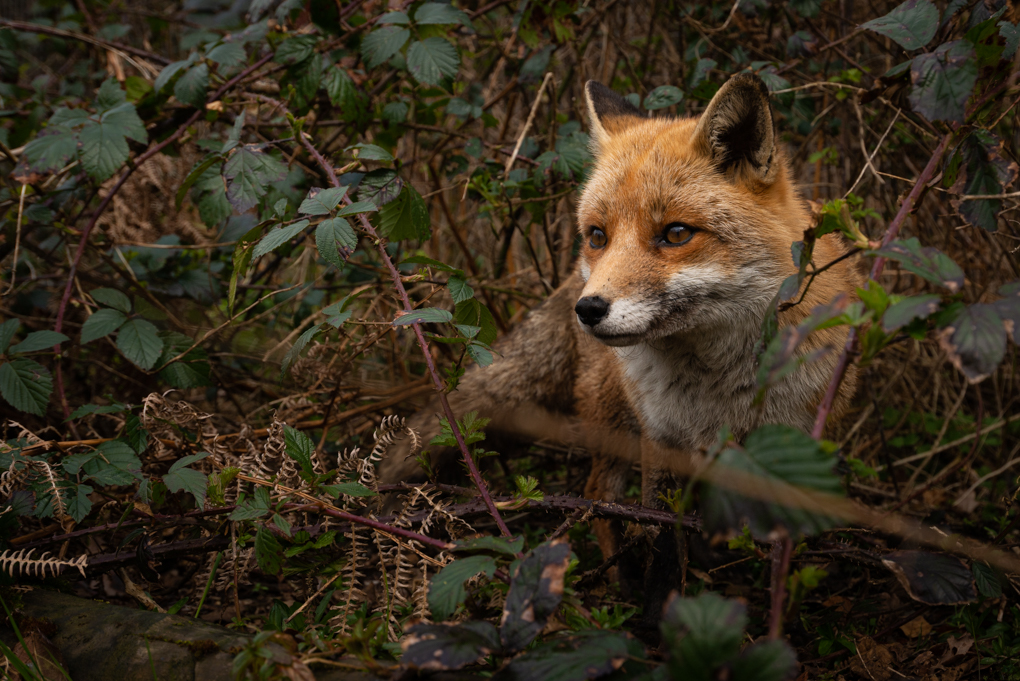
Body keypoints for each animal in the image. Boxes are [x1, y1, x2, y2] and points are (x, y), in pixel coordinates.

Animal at [379, 71, 856, 558]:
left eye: (676, 233)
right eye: (597, 236)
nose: (587, 309)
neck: (713, 392)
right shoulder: (660, 441)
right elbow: (658, 536)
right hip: (616, 423)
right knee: (600, 499)